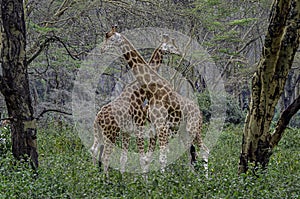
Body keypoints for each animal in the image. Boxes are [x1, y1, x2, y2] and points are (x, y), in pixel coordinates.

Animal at [91, 33, 180, 173]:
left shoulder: (131, 130)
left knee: (94, 150)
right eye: (171, 45)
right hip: (110, 133)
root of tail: (98, 118)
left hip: (99, 133)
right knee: (105, 156)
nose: (102, 49)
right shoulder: (139, 126)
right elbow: (141, 158)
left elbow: (125, 158)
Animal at [101, 25, 209, 173]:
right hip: (183, 131)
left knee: (204, 150)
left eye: (110, 37)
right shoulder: (153, 126)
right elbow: (150, 157)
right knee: (192, 153)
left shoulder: (161, 126)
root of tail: (200, 112)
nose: (102, 49)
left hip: (193, 128)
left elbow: (161, 158)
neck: (151, 90)